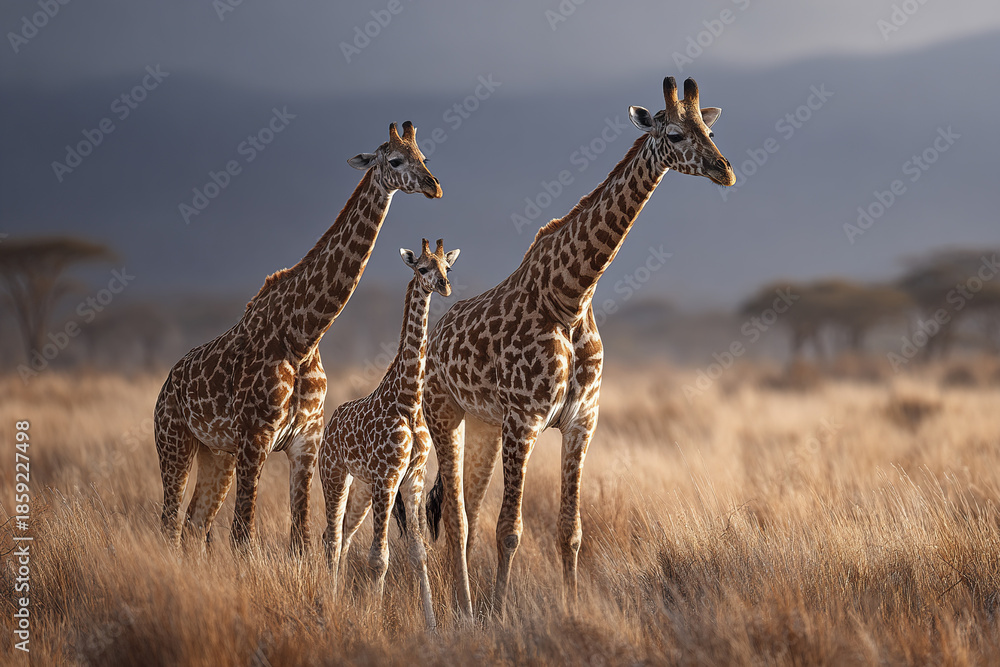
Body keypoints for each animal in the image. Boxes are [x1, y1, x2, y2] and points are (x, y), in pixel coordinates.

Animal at [153, 121, 442, 553]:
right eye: (394, 159)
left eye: (423, 156)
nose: (433, 185)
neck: (303, 334)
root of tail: (166, 384)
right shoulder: (256, 438)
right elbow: (243, 536)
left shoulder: (305, 441)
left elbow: (302, 537)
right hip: (174, 441)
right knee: (170, 524)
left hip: (216, 453)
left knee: (193, 524)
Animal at [320, 238, 460, 630]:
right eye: (422, 268)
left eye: (448, 267)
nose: (444, 286)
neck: (409, 399)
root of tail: (330, 423)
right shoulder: (388, 476)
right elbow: (379, 558)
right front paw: (373, 620)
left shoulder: (411, 478)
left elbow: (418, 554)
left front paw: (432, 626)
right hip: (334, 475)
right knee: (331, 539)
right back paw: (330, 603)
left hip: (362, 488)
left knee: (342, 538)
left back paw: (337, 596)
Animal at [420, 77, 736, 617]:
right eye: (674, 134)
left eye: (709, 130)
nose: (725, 170)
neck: (570, 297)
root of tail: (435, 336)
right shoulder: (524, 421)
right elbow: (511, 529)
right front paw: (500, 614)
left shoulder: (581, 422)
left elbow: (570, 530)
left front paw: (568, 610)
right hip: (444, 413)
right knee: (457, 516)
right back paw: (464, 607)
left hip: (483, 423)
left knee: (469, 510)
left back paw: (464, 602)